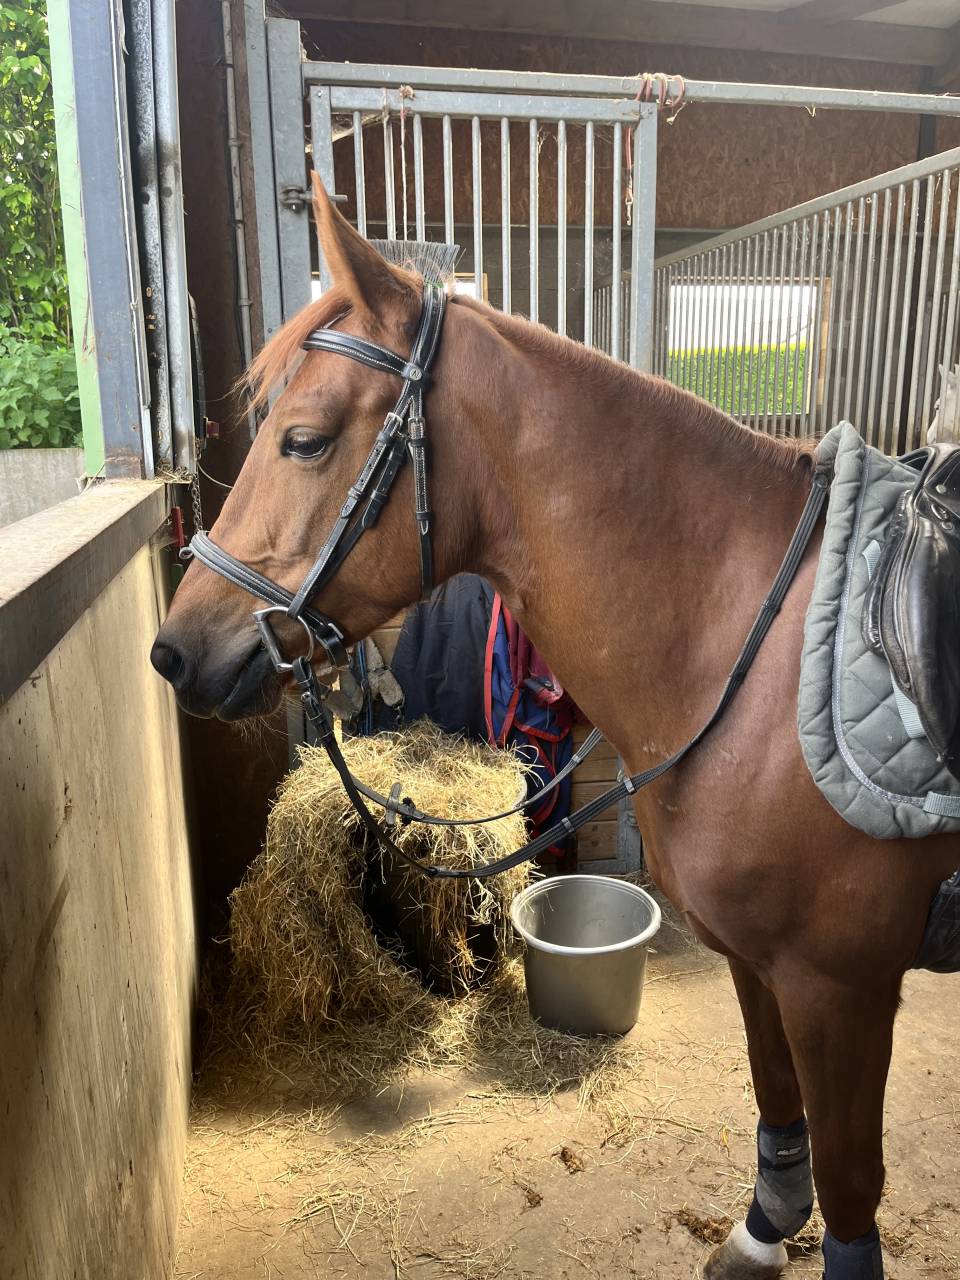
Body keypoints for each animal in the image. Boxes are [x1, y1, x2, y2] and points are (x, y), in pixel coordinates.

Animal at [151, 177, 960, 1280]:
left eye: (305, 438)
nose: (177, 651)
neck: (749, 645)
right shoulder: (762, 966)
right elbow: (775, 1103)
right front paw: (761, 1229)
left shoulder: (841, 987)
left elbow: (851, 1185)